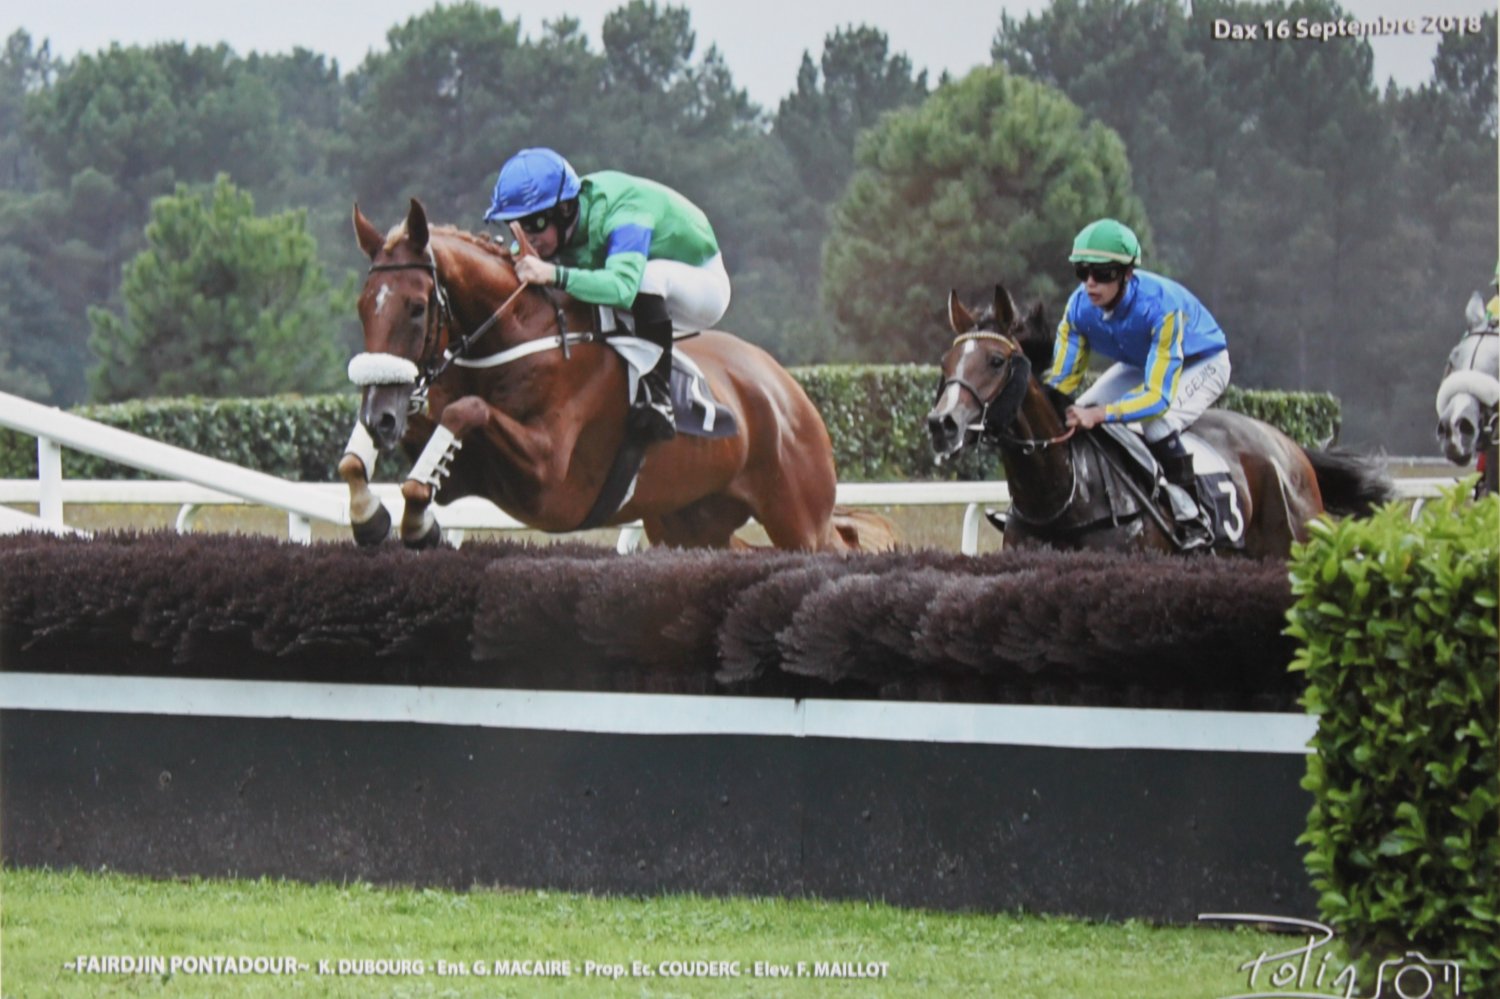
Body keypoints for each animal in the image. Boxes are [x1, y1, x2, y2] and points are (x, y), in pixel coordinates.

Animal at [339, 199, 895, 552]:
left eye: (416, 308)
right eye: (362, 307)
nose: (382, 414)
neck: (519, 336)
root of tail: (790, 392)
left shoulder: (548, 473)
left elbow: (464, 411)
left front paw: (415, 525)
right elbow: (360, 461)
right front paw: (373, 517)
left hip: (799, 519)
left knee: (838, 546)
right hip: (688, 523)